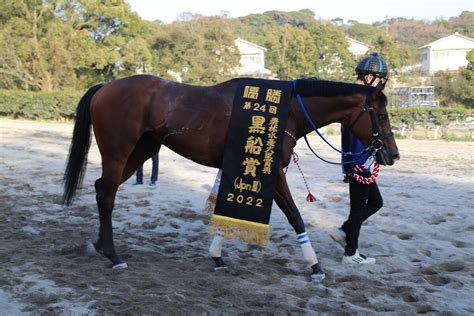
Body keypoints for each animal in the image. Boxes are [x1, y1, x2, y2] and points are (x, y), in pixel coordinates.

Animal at [61, 76, 398, 278]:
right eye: (382, 115)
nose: (392, 154)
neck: (284, 111)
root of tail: (106, 86)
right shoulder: (273, 174)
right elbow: (296, 217)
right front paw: (315, 265)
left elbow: (230, 211)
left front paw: (217, 256)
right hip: (119, 152)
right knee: (107, 194)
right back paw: (113, 254)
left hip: (142, 150)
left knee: (103, 189)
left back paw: (100, 244)